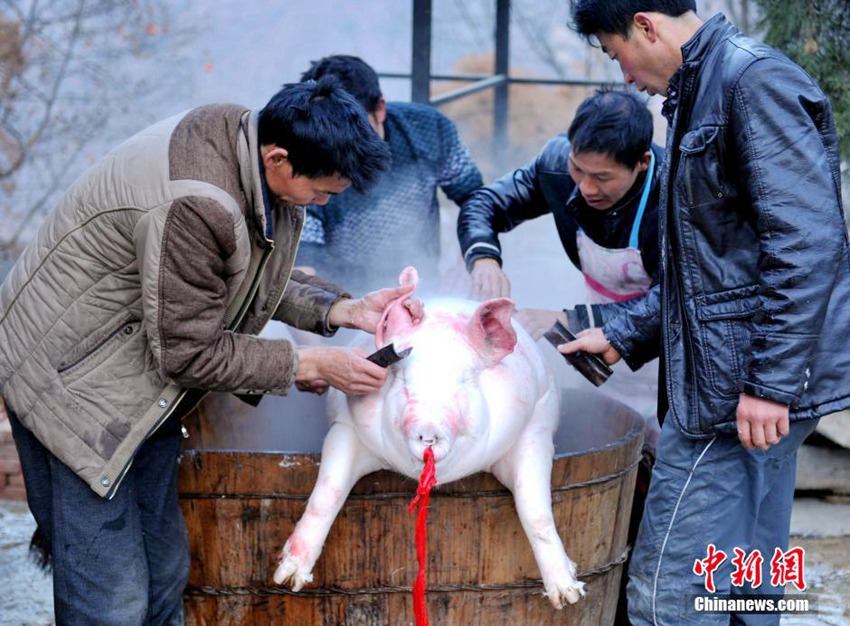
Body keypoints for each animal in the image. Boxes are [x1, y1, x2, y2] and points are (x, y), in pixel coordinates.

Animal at [272, 266, 584, 608]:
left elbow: (534, 509)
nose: (429, 426)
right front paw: (286, 578)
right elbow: (327, 493)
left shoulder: (534, 425)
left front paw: (568, 595)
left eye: (465, 379)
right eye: (402, 379)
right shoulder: (346, 425)